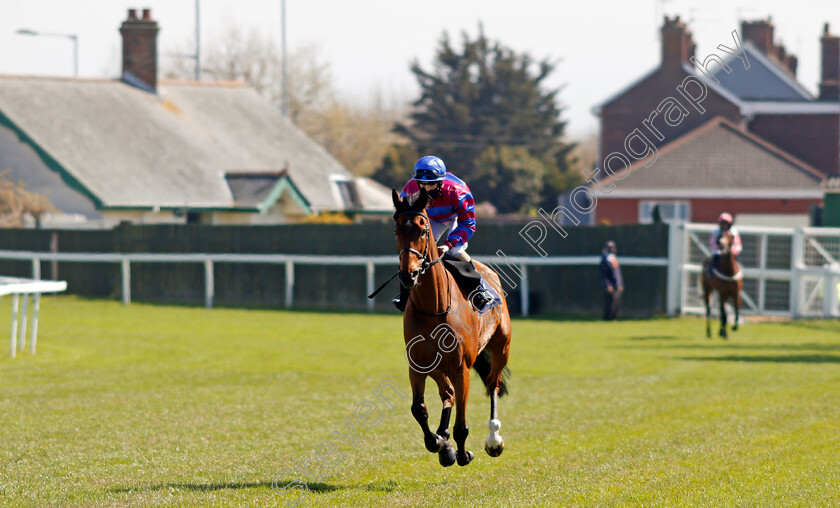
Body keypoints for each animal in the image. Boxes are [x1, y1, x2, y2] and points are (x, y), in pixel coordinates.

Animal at [392, 189, 512, 466]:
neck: (434, 306)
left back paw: (493, 438)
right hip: (438, 366)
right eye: (396, 230)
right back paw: (444, 439)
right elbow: (419, 409)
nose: (408, 274)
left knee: (493, 383)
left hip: (501, 347)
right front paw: (439, 443)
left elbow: (462, 425)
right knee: (447, 393)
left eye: (423, 229)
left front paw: (462, 452)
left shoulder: (461, 368)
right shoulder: (418, 364)